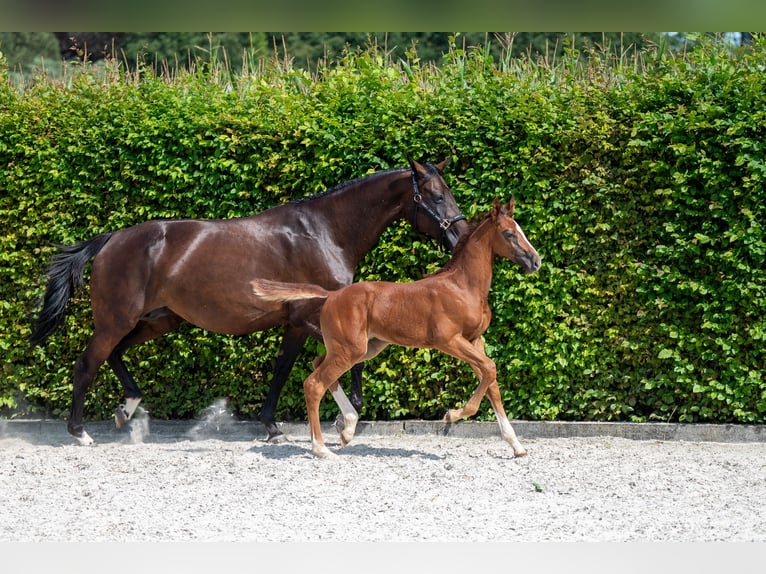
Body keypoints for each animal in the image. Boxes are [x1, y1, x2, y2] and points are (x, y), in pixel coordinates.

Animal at [30, 158, 468, 446]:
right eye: (434, 195)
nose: (460, 236)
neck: (324, 232)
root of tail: (110, 240)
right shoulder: (307, 318)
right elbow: (321, 366)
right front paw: (338, 420)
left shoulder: (301, 322)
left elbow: (290, 368)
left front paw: (276, 426)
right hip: (115, 319)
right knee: (87, 364)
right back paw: (81, 433)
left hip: (157, 320)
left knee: (115, 354)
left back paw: (126, 409)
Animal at [250, 198, 540, 460]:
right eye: (509, 233)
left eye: (521, 230)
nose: (535, 261)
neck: (463, 286)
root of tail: (331, 296)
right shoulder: (449, 340)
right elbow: (489, 369)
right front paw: (451, 414)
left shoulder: (475, 340)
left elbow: (491, 383)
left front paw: (517, 446)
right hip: (351, 350)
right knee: (313, 384)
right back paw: (321, 448)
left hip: (362, 347)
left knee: (318, 363)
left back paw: (347, 429)